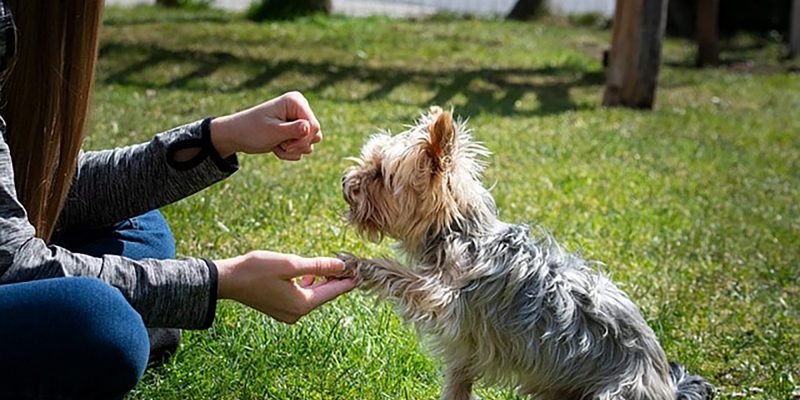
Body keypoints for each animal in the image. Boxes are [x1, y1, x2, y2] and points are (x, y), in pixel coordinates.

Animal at [340, 107, 716, 400]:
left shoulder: (442, 295)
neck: (459, 231)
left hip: (616, 391)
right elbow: (458, 383)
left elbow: (399, 275)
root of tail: (666, 383)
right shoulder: (464, 349)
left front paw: (358, 264)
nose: (345, 182)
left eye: (379, 174)